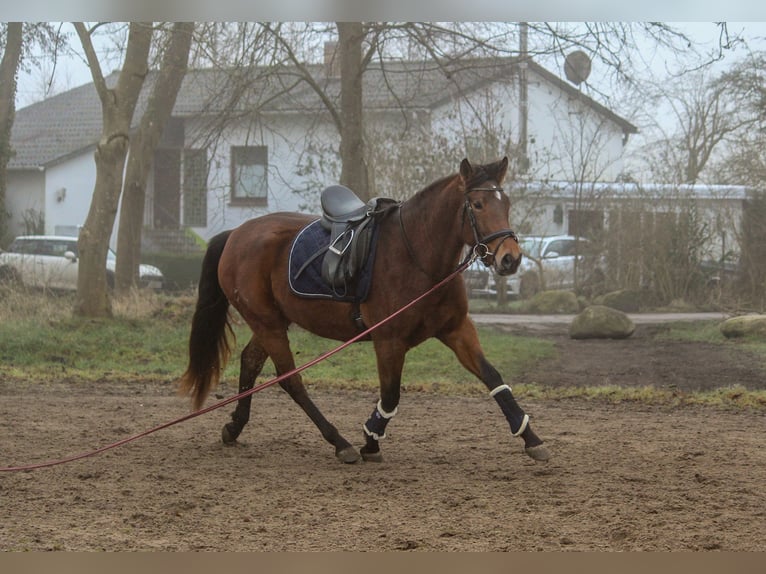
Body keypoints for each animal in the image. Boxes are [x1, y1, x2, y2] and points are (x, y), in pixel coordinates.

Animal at [180, 158, 552, 464]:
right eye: (477, 204)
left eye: (507, 203)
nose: (510, 258)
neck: (417, 255)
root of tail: (236, 234)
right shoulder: (389, 340)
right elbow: (390, 395)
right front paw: (370, 440)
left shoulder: (457, 329)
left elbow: (494, 378)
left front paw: (530, 437)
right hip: (267, 323)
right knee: (292, 381)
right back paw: (338, 442)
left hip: (271, 322)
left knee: (251, 362)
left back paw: (235, 427)